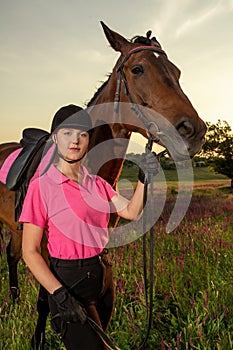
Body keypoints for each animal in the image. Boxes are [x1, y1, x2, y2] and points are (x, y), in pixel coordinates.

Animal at [0, 21, 206, 348]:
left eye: (176, 71)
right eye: (137, 69)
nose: (193, 131)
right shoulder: (45, 251)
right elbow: (46, 301)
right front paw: (37, 340)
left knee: (11, 254)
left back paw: (13, 302)